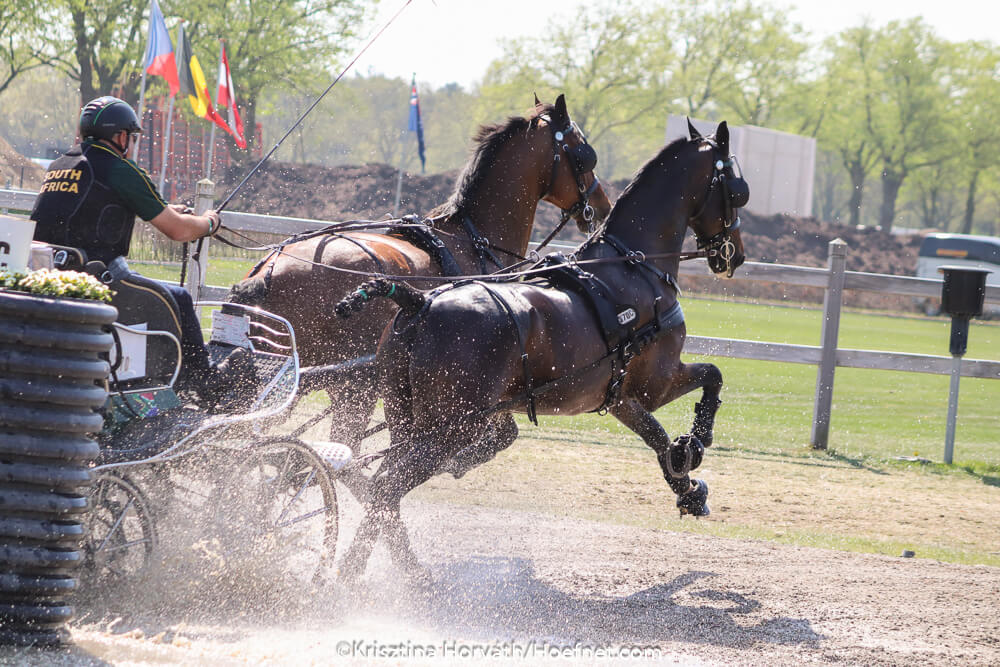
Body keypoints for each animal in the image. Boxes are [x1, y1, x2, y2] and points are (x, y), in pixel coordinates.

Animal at [229, 94, 611, 448]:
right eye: (584, 152)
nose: (603, 205)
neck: (473, 237)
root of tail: (267, 271)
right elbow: (499, 435)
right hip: (347, 388)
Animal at [334, 119, 748, 584]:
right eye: (737, 189)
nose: (735, 255)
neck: (633, 268)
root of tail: (418, 300)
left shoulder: (618, 396)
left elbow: (655, 437)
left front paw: (686, 483)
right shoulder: (656, 382)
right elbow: (712, 375)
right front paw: (697, 440)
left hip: (408, 419)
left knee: (381, 486)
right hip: (451, 428)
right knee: (387, 486)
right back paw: (366, 573)